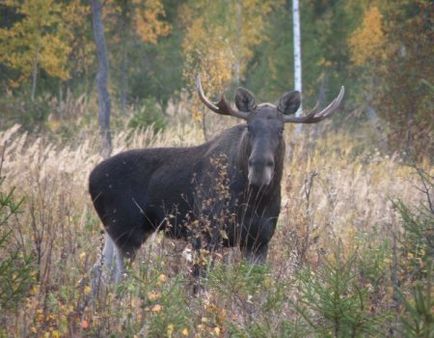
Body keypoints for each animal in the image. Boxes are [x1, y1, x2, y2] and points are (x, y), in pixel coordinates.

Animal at [90, 76, 344, 282]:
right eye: (249, 126)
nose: (259, 168)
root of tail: (90, 179)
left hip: (117, 231)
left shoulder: (259, 240)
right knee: (117, 280)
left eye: (281, 129)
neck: (254, 201)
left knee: (99, 273)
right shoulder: (205, 234)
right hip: (127, 230)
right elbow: (198, 286)